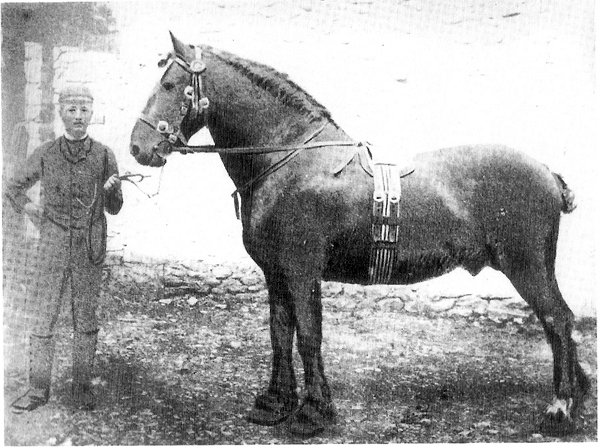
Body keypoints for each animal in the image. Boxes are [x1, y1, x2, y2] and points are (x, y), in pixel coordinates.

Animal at [129, 33, 589, 437]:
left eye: (170, 84)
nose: (138, 147)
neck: (288, 158)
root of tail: (547, 173)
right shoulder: (275, 274)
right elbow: (280, 333)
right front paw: (275, 403)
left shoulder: (301, 272)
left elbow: (308, 336)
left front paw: (313, 412)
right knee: (559, 323)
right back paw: (579, 390)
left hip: (527, 267)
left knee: (558, 320)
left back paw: (560, 409)